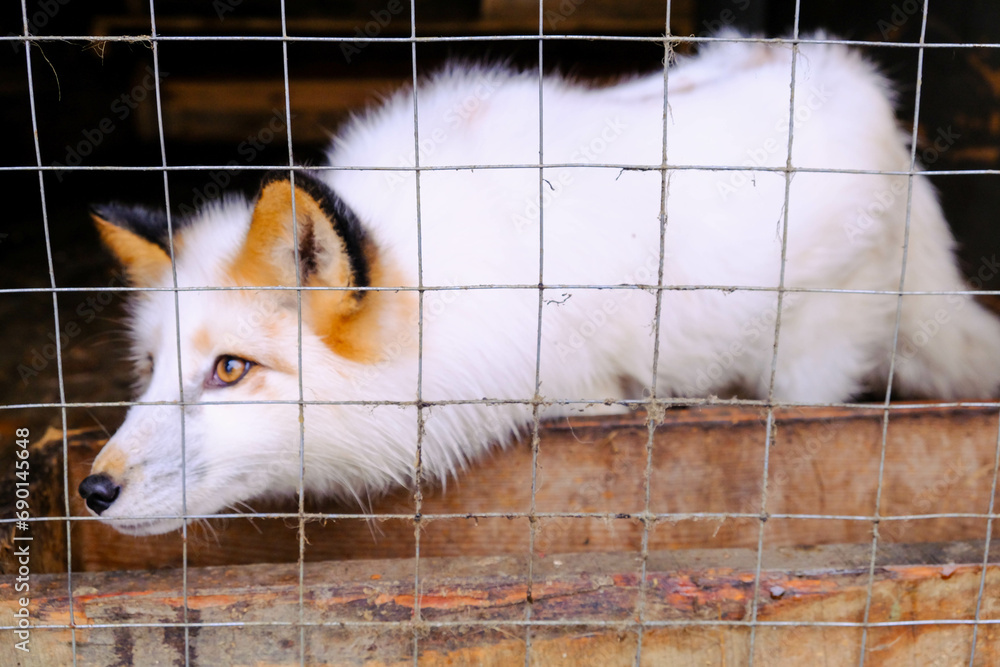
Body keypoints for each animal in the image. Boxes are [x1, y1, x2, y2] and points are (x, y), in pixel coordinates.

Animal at [79, 36, 1000, 536]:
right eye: (151, 369)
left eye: (231, 368)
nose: (92, 489)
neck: (449, 276)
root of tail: (873, 95)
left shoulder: (586, 396)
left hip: (803, 372)